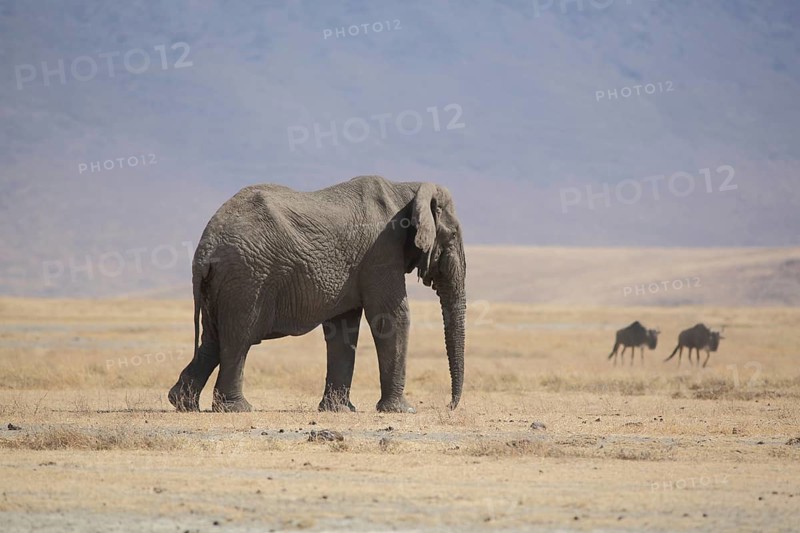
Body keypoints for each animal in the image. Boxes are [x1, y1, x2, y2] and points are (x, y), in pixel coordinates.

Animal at [168, 175, 466, 413]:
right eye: (453, 235)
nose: (449, 406)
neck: (406, 189)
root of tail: (206, 248)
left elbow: (343, 328)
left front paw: (339, 411)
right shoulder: (381, 252)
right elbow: (392, 317)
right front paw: (402, 411)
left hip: (223, 284)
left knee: (213, 339)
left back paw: (182, 403)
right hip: (247, 278)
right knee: (238, 339)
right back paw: (237, 409)